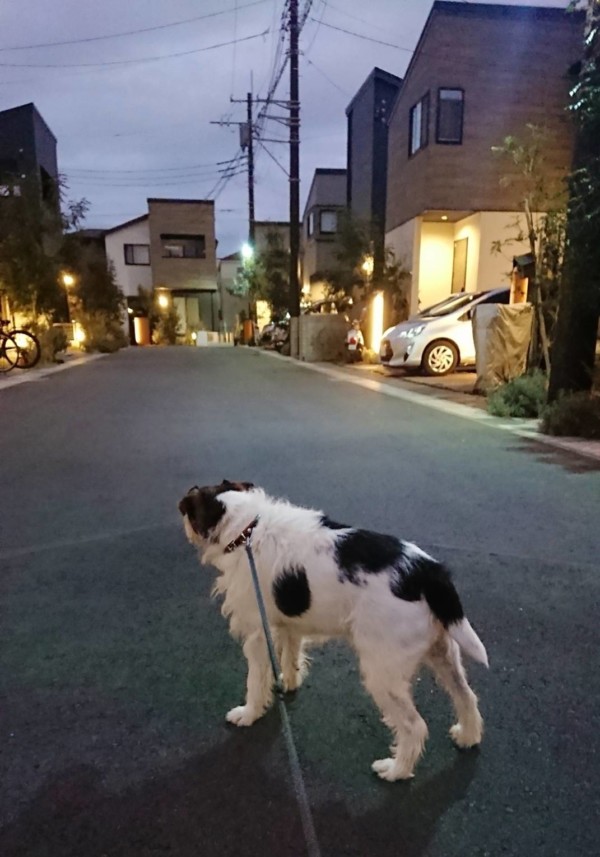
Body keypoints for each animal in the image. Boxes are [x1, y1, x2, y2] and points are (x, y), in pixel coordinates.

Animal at [179, 480, 488, 781]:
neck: (246, 529)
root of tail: (429, 572)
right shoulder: (288, 625)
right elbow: (290, 657)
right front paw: (289, 683)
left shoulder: (257, 632)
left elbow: (255, 681)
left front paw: (248, 713)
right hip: (443, 652)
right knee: (466, 696)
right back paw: (468, 736)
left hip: (383, 673)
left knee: (415, 726)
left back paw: (396, 771)